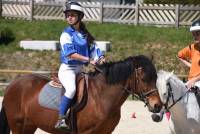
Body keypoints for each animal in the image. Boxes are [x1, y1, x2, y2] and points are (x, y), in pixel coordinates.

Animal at [0, 54, 162, 134]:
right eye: (144, 78)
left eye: (155, 78)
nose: (157, 105)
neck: (101, 97)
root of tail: (13, 84)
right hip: (18, 125)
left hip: (29, 125)